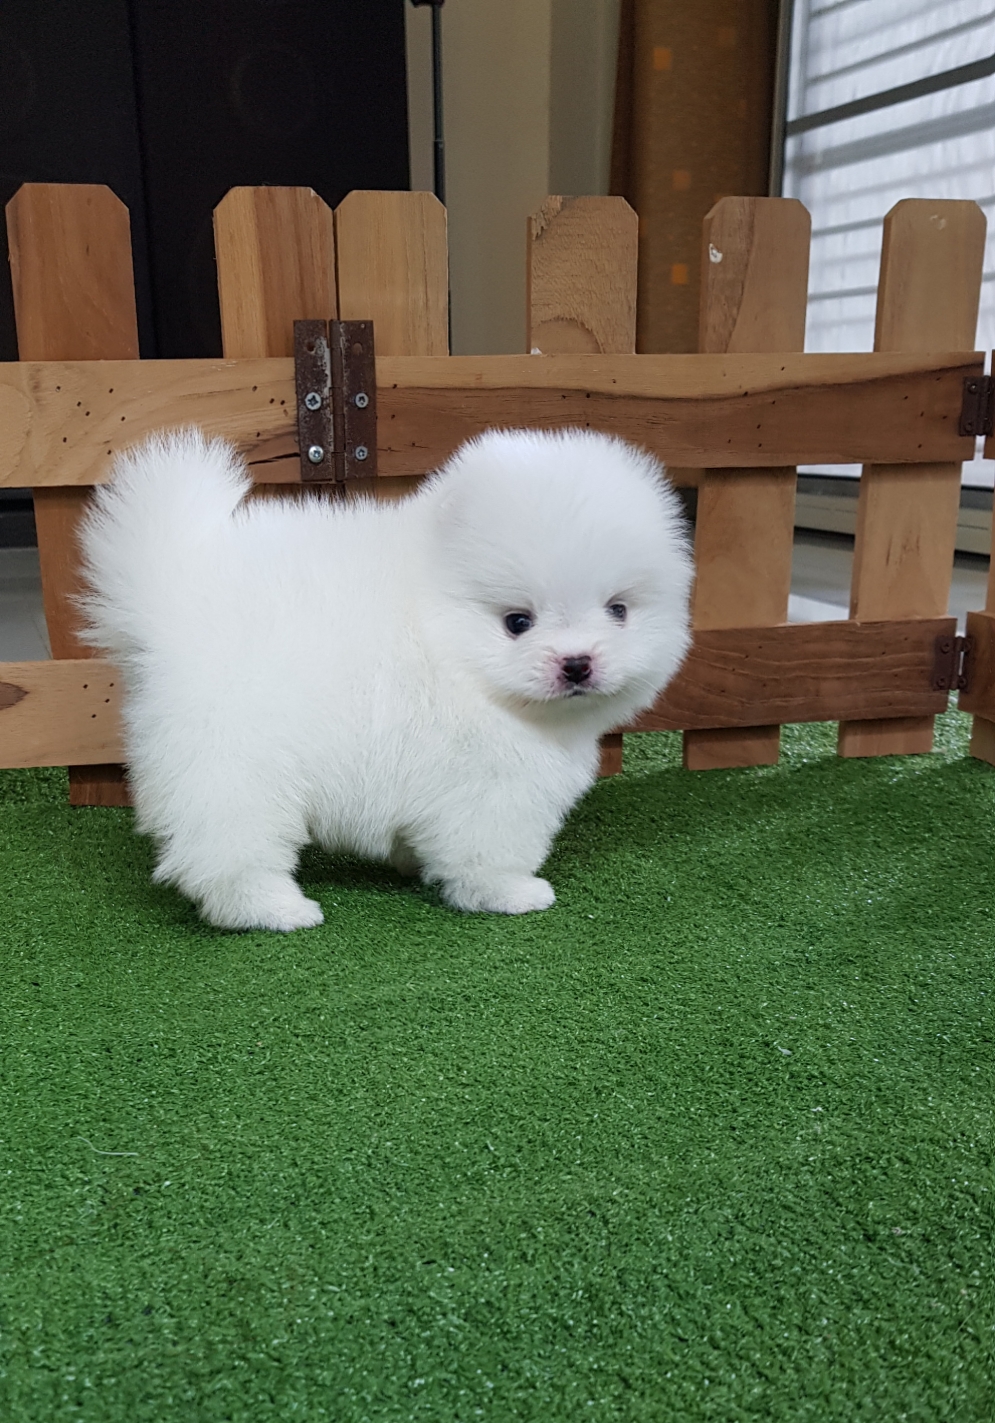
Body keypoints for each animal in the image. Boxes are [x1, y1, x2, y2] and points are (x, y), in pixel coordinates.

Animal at [79, 426, 692, 930]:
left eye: (618, 611)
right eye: (517, 622)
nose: (577, 663)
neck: (444, 644)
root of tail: (169, 598)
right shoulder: (493, 787)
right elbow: (486, 853)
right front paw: (510, 894)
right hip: (234, 767)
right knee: (228, 854)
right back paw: (275, 909)